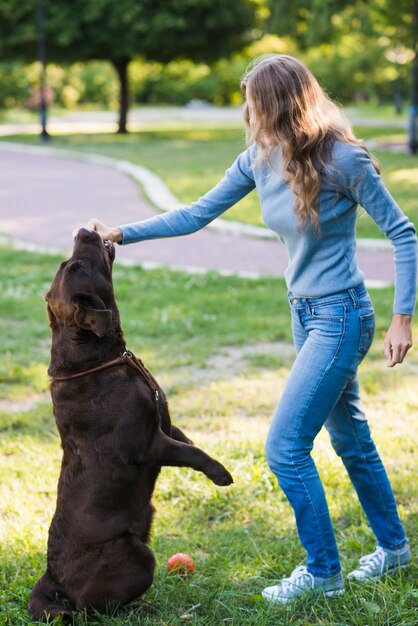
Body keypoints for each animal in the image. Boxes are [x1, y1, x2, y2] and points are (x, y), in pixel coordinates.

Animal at [29, 229, 232, 620]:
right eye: (75, 266)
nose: (84, 230)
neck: (96, 361)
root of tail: (51, 577)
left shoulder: (166, 426)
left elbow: (188, 443)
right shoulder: (148, 444)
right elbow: (193, 454)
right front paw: (221, 473)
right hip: (136, 557)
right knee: (90, 609)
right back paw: (142, 607)